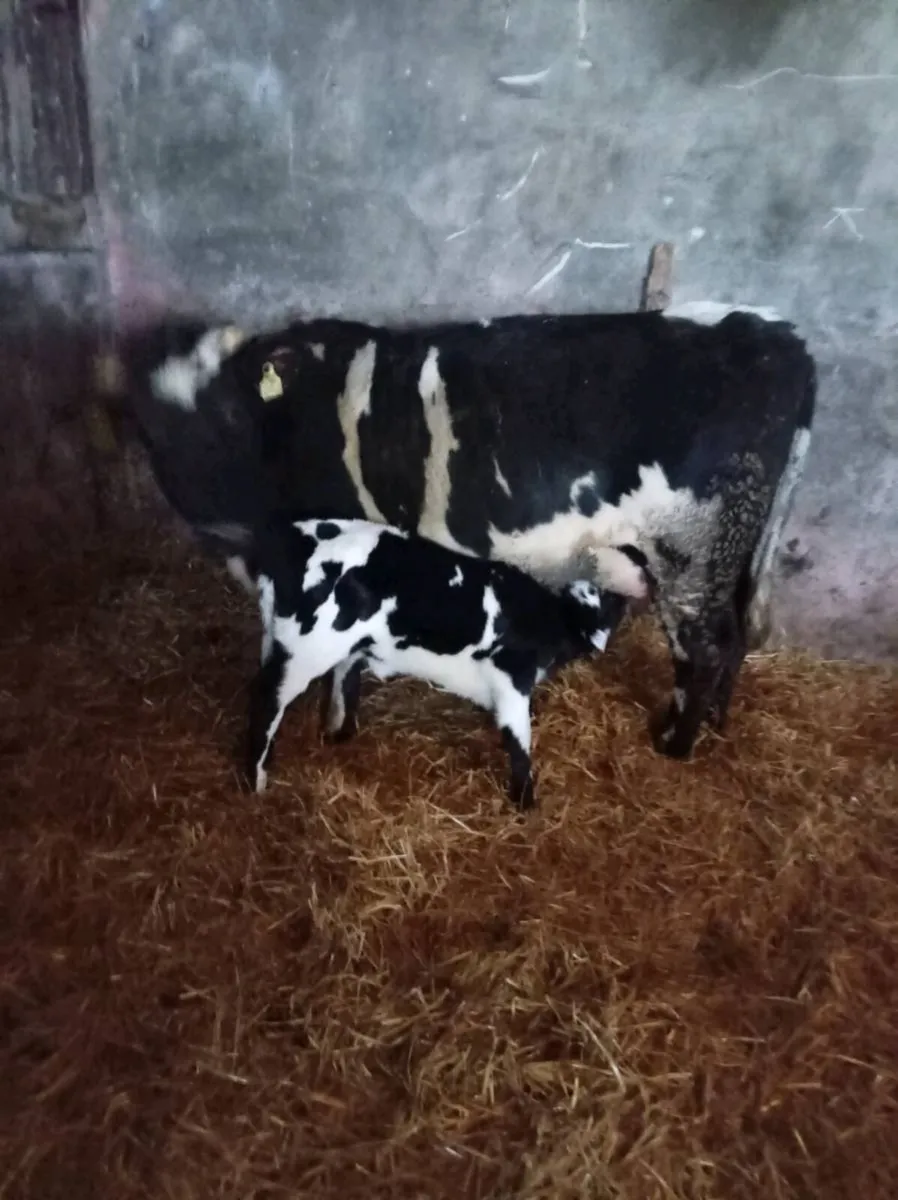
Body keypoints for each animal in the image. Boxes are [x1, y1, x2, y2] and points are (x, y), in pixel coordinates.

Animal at [105, 300, 816, 761]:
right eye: (148, 426)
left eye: (230, 408)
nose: (213, 515)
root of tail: (774, 334)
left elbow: (345, 656)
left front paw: (338, 727)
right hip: (726, 555)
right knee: (733, 637)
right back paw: (716, 723)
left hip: (691, 552)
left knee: (706, 647)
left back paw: (677, 744)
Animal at [236, 515, 631, 808]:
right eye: (611, 602)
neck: (549, 619)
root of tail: (285, 541)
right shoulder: (511, 680)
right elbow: (519, 740)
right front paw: (524, 802)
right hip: (306, 648)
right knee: (266, 700)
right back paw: (256, 781)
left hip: (287, 639)